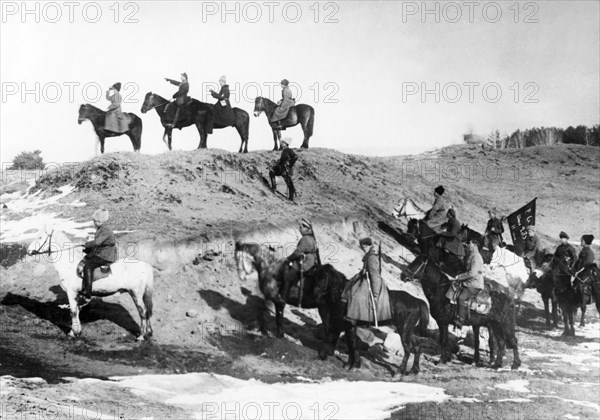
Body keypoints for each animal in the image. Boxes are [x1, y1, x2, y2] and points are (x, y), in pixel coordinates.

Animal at [236, 241, 432, 376]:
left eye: (317, 276)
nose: (241, 275)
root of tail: (417, 301)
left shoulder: (342, 321)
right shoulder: (344, 323)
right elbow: (346, 340)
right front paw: (349, 362)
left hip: (403, 329)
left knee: (408, 348)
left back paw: (399, 372)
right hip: (407, 330)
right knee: (417, 346)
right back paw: (414, 369)